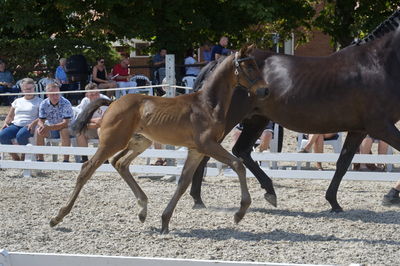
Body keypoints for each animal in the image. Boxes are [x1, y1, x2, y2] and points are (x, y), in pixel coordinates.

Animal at [50, 44, 268, 233]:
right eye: (249, 66)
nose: (264, 90)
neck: (207, 104)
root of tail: (111, 102)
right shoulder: (208, 145)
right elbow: (238, 164)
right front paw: (240, 212)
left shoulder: (196, 150)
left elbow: (183, 182)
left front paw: (165, 221)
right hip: (112, 142)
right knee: (88, 168)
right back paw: (58, 217)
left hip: (139, 142)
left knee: (120, 163)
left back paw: (142, 209)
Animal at [190, 10, 400, 213]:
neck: (376, 64)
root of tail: (220, 64)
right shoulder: (380, 126)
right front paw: (390, 195)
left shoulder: (359, 129)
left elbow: (343, 163)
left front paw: (333, 202)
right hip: (231, 119)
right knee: (208, 150)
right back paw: (198, 199)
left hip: (257, 119)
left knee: (240, 150)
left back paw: (269, 192)